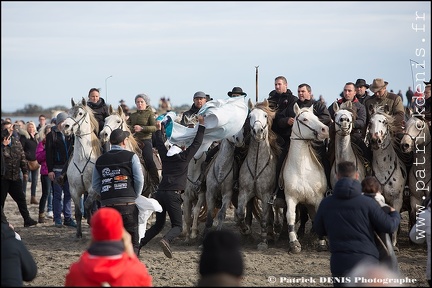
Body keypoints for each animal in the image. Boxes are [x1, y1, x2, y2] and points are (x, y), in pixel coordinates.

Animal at [62, 98, 101, 237]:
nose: (65, 126)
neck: (82, 158)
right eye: (68, 112)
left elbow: (88, 205)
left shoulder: (93, 189)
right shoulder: (74, 191)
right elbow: (78, 213)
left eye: (80, 113)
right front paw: (78, 233)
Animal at [235, 99, 278, 250]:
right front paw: (245, 230)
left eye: (265, 115)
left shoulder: (266, 196)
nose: (258, 131)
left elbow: (264, 218)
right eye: (250, 116)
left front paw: (263, 241)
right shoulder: (244, 192)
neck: (257, 164)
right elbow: (240, 214)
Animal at [282, 103, 330, 252]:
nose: (325, 130)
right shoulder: (290, 197)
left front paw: (322, 242)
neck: (302, 169)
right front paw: (294, 242)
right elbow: (291, 217)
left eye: (317, 117)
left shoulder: (318, 198)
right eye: (304, 119)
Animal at [366, 104, 406, 249]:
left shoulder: (397, 200)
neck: (384, 169)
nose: (375, 140)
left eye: (384, 122)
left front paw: (393, 245)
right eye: (370, 122)